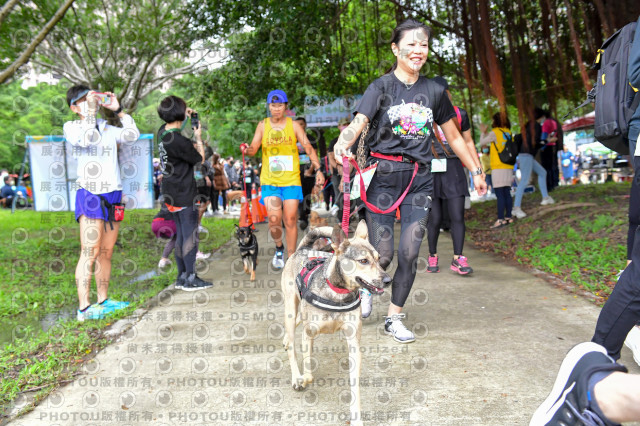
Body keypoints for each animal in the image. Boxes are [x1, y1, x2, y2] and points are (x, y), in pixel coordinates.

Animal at [282, 221, 392, 424]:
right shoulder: (308, 334)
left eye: (378, 258)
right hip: (290, 308)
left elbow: (355, 385)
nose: (388, 280)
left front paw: (356, 418)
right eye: (363, 261)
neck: (338, 293)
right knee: (293, 345)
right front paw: (304, 378)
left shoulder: (354, 343)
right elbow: (308, 370)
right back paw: (296, 376)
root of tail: (304, 249)